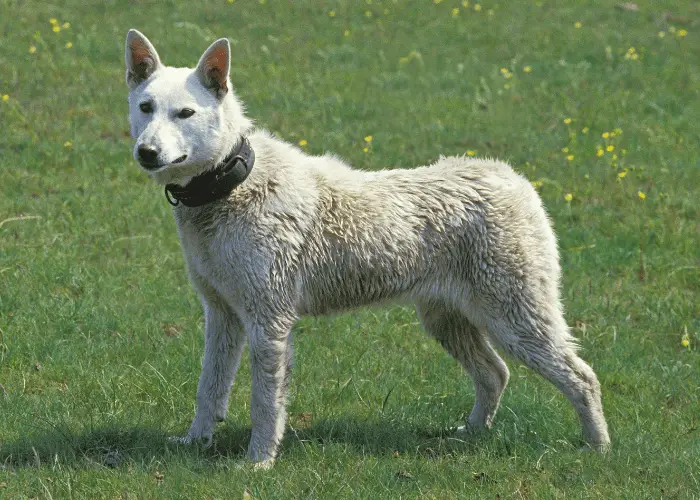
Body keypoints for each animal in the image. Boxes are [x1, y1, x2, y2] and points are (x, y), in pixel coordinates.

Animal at [124, 30, 608, 468]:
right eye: (146, 108)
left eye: (185, 113)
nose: (146, 152)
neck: (229, 185)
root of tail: (516, 180)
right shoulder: (222, 313)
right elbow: (210, 388)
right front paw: (196, 442)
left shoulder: (269, 321)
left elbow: (265, 403)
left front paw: (258, 462)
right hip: (446, 319)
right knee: (495, 374)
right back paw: (470, 435)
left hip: (516, 318)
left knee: (582, 377)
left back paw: (598, 448)